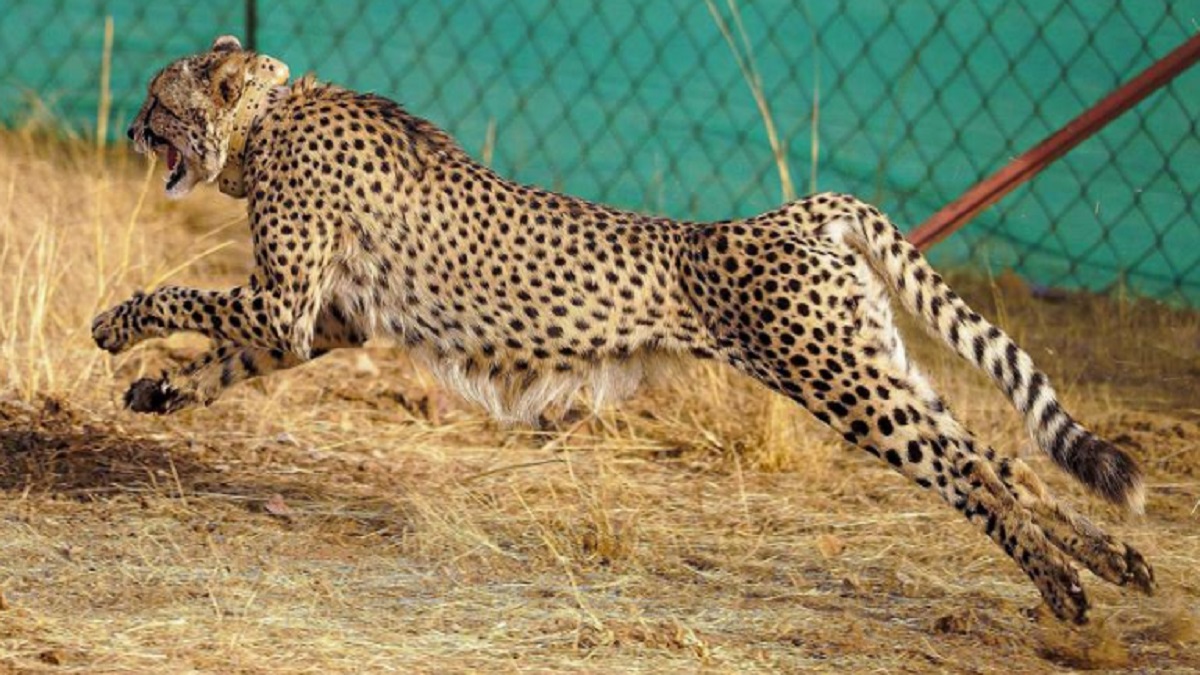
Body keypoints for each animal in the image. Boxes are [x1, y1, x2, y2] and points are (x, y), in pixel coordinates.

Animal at [93, 35, 1154, 624]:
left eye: (154, 100)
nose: (134, 132)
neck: (271, 116)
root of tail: (794, 213)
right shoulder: (321, 320)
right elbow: (227, 355)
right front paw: (161, 387)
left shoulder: (287, 301)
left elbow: (183, 300)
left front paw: (115, 325)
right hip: (875, 364)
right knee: (999, 458)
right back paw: (1115, 561)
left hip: (842, 383)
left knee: (969, 472)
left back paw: (1064, 588)